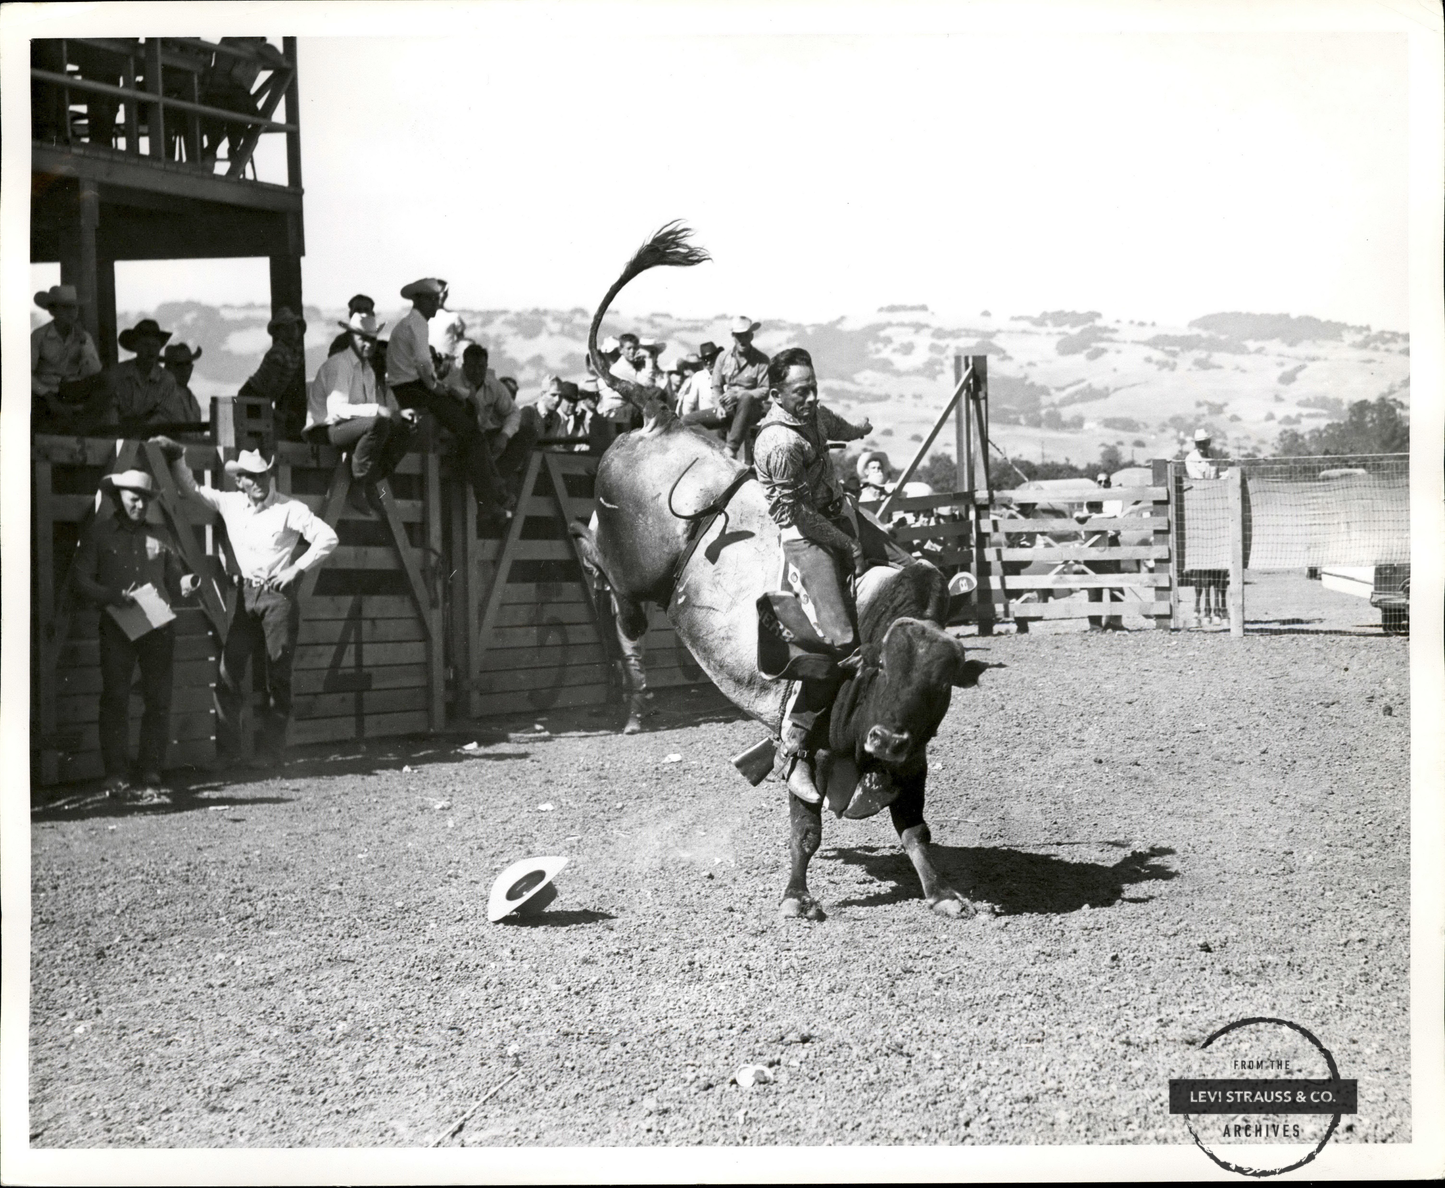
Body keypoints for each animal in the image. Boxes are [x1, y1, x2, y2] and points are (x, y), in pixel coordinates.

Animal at [569, 225, 988, 930]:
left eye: (941, 684)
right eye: (878, 666)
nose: (887, 738)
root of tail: (658, 416)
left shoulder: (912, 766)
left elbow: (915, 830)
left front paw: (944, 893)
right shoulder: (809, 747)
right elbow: (806, 828)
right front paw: (797, 895)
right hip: (633, 556)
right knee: (598, 557)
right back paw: (607, 597)